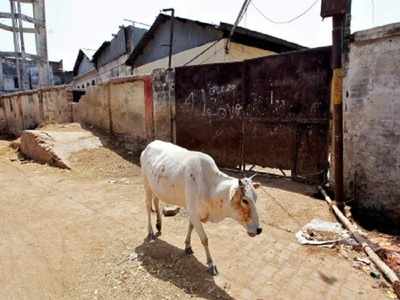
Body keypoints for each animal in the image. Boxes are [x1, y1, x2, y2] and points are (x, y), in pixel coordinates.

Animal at [141, 141, 262, 274]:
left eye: (256, 198)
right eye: (245, 200)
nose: (259, 229)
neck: (210, 188)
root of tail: (150, 144)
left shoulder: (194, 213)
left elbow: (190, 227)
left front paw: (187, 246)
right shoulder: (193, 212)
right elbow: (204, 239)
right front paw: (210, 263)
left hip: (156, 188)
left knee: (156, 201)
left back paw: (159, 225)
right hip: (146, 184)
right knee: (148, 206)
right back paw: (151, 231)